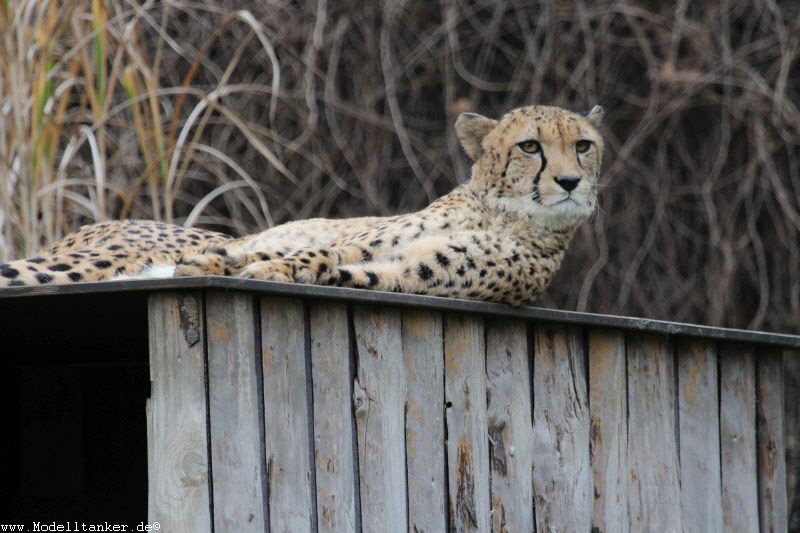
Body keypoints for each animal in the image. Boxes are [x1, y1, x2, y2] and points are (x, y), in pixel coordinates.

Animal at [0, 104, 604, 306]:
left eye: (583, 145)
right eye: (530, 146)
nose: (571, 181)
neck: (504, 213)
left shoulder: (409, 275)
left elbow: (336, 268)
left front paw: (266, 269)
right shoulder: (354, 240)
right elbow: (310, 251)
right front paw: (235, 263)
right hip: (80, 262)